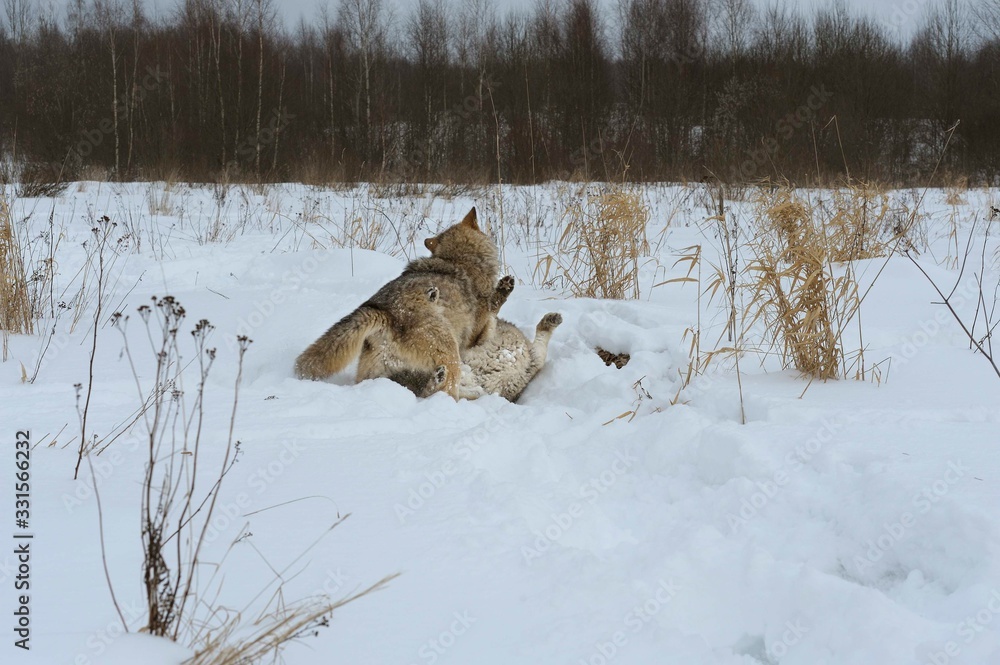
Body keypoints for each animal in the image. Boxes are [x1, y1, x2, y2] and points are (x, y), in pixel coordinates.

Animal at [293, 208, 499, 398]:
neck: (460, 258)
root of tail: (385, 313)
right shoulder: (473, 336)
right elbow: (488, 327)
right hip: (450, 353)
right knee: (443, 391)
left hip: (374, 373)